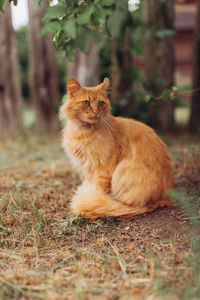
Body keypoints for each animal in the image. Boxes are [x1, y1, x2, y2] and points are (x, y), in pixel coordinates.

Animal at [60, 77, 174, 218]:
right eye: (86, 103)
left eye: (101, 103)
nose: (96, 112)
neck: (82, 131)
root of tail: (165, 197)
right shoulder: (88, 170)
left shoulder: (103, 168)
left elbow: (99, 190)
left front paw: (94, 199)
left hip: (122, 171)